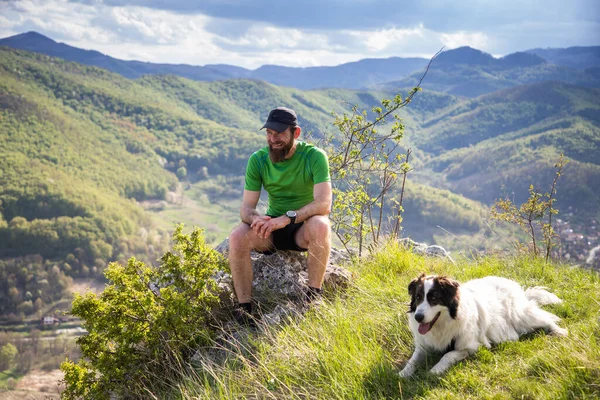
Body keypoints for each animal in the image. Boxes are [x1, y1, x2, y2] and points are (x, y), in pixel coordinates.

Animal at [398, 274, 568, 376]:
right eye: (418, 297)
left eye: (434, 298)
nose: (418, 317)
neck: (442, 324)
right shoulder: (424, 345)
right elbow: (413, 360)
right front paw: (403, 373)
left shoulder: (472, 346)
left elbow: (448, 354)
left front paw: (435, 370)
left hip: (520, 316)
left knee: (545, 317)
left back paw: (559, 331)